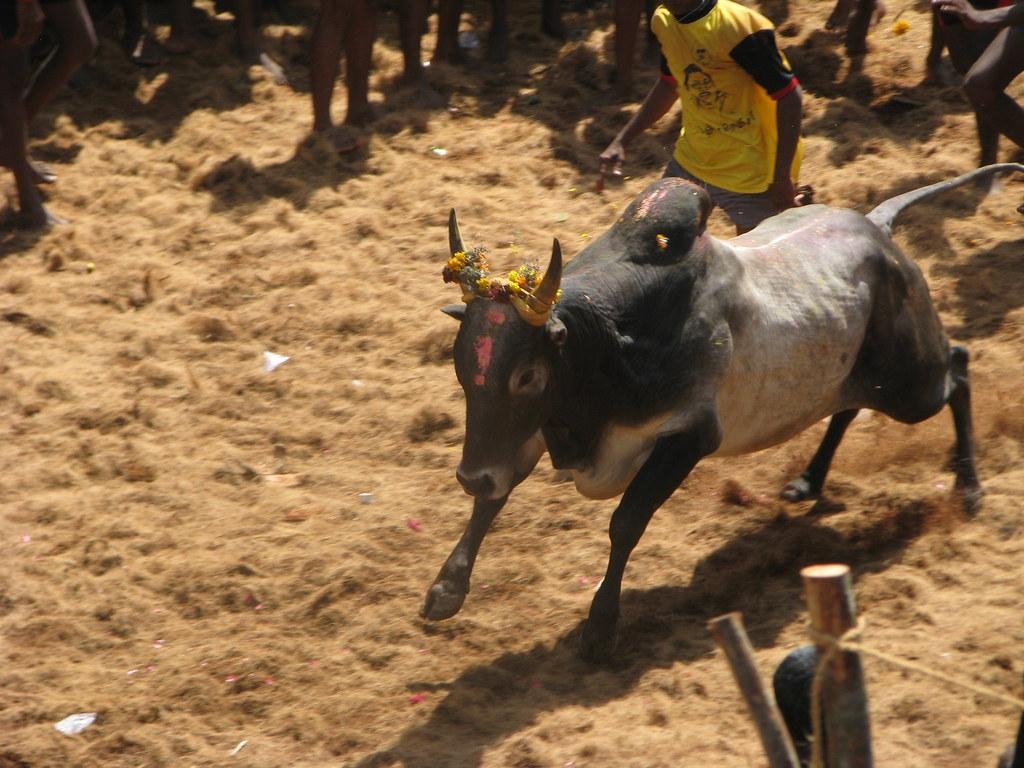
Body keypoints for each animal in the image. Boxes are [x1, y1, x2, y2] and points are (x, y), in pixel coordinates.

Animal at [419, 162, 1019, 663]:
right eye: (461, 364)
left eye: (527, 375)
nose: (468, 475)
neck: (611, 344)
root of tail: (878, 228)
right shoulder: (526, 434)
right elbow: (494, 498)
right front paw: (445, 590)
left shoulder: (688, 437)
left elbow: (625, 523)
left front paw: (601, 629)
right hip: (861, 377)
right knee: (848, 408)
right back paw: (808, 480)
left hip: (913, 385)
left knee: (959, 368)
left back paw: (968, 486)